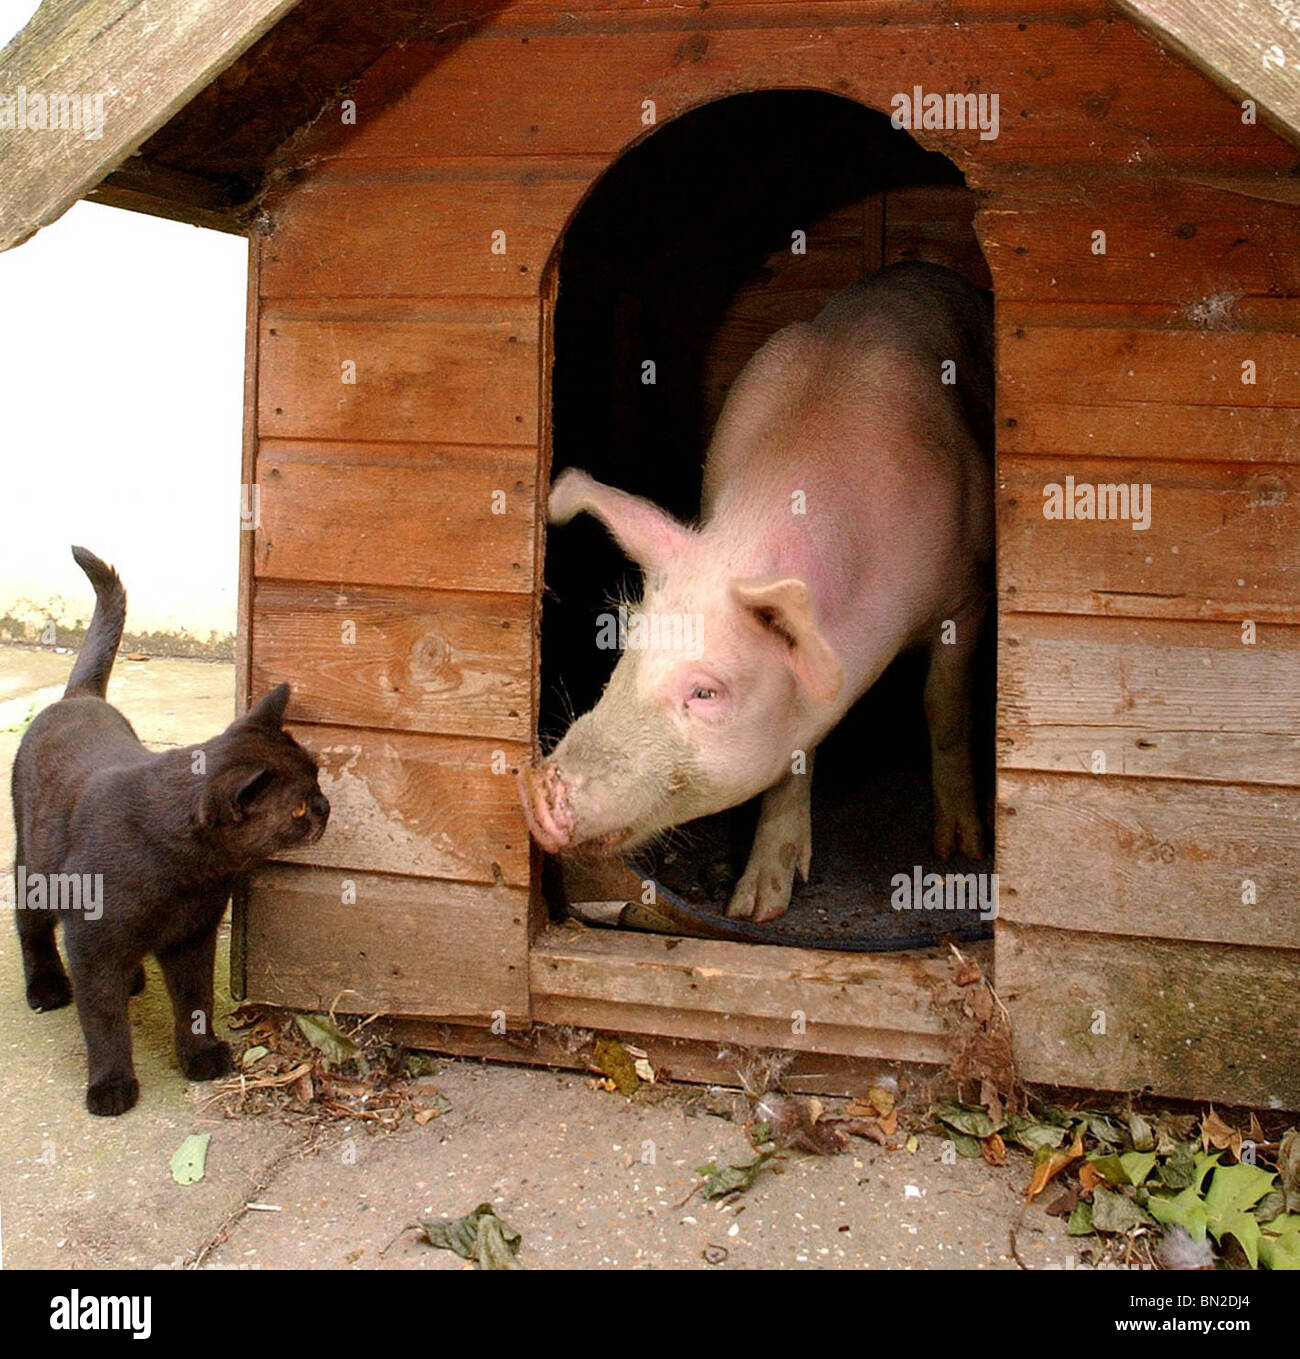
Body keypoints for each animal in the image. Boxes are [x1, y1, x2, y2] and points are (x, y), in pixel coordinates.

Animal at [520, 261, 993, 923]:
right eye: (624, 659)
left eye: (705, 691)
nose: (538, 789)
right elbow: (794, 758)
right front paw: (757, 906)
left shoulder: (968, 595)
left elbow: (943, 706)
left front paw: (959, 853)